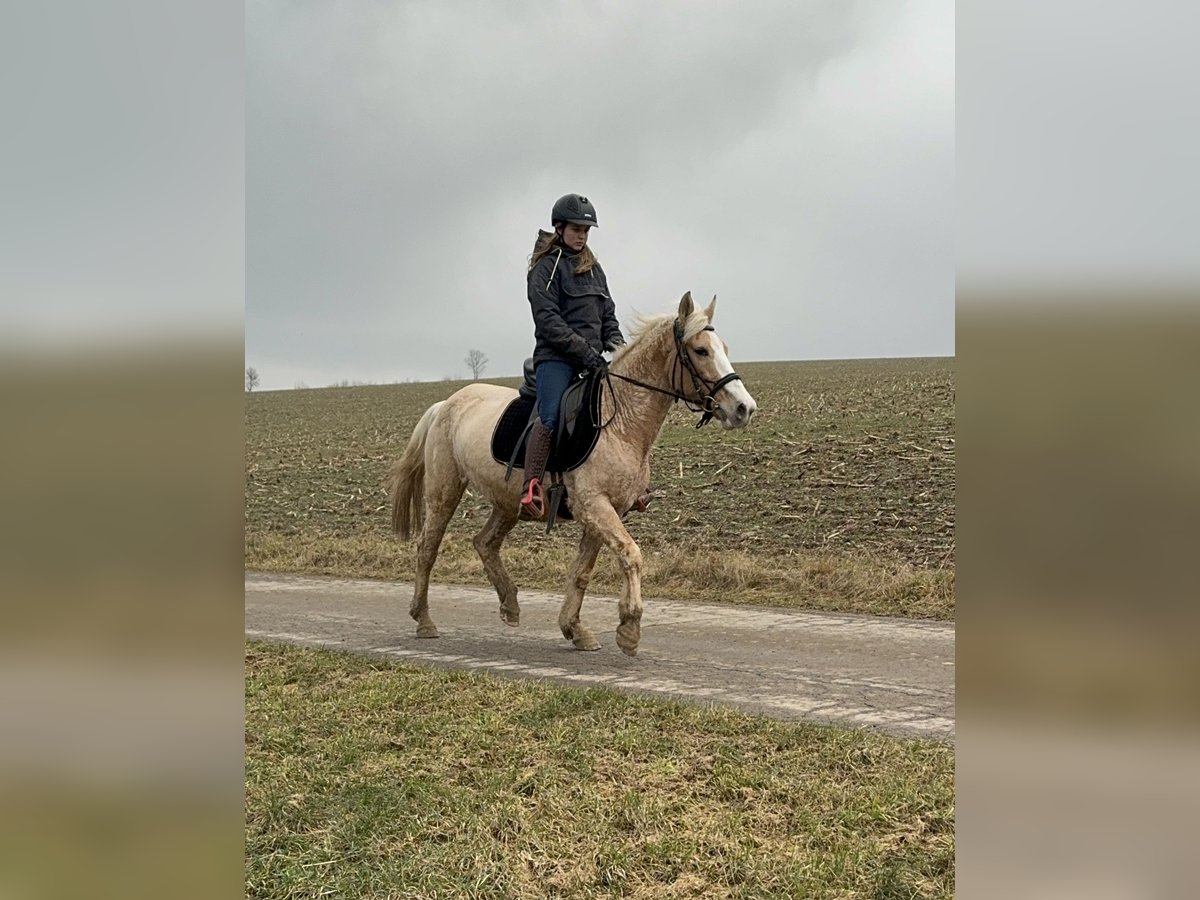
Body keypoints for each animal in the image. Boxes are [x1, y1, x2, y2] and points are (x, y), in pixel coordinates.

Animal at [386, 294, 758, 657]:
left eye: (724, 348)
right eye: (701, 350)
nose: (745, 408)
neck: (619, 420)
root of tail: (446, 404)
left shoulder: (606, 512)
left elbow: (582, 572)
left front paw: (575, 629)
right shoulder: (593, 506)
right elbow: (631, 554)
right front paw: (629, 628)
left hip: (508, 502)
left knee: (484, 542)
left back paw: (510, 605)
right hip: (444, 492)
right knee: (427, 549)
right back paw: (424, 620)